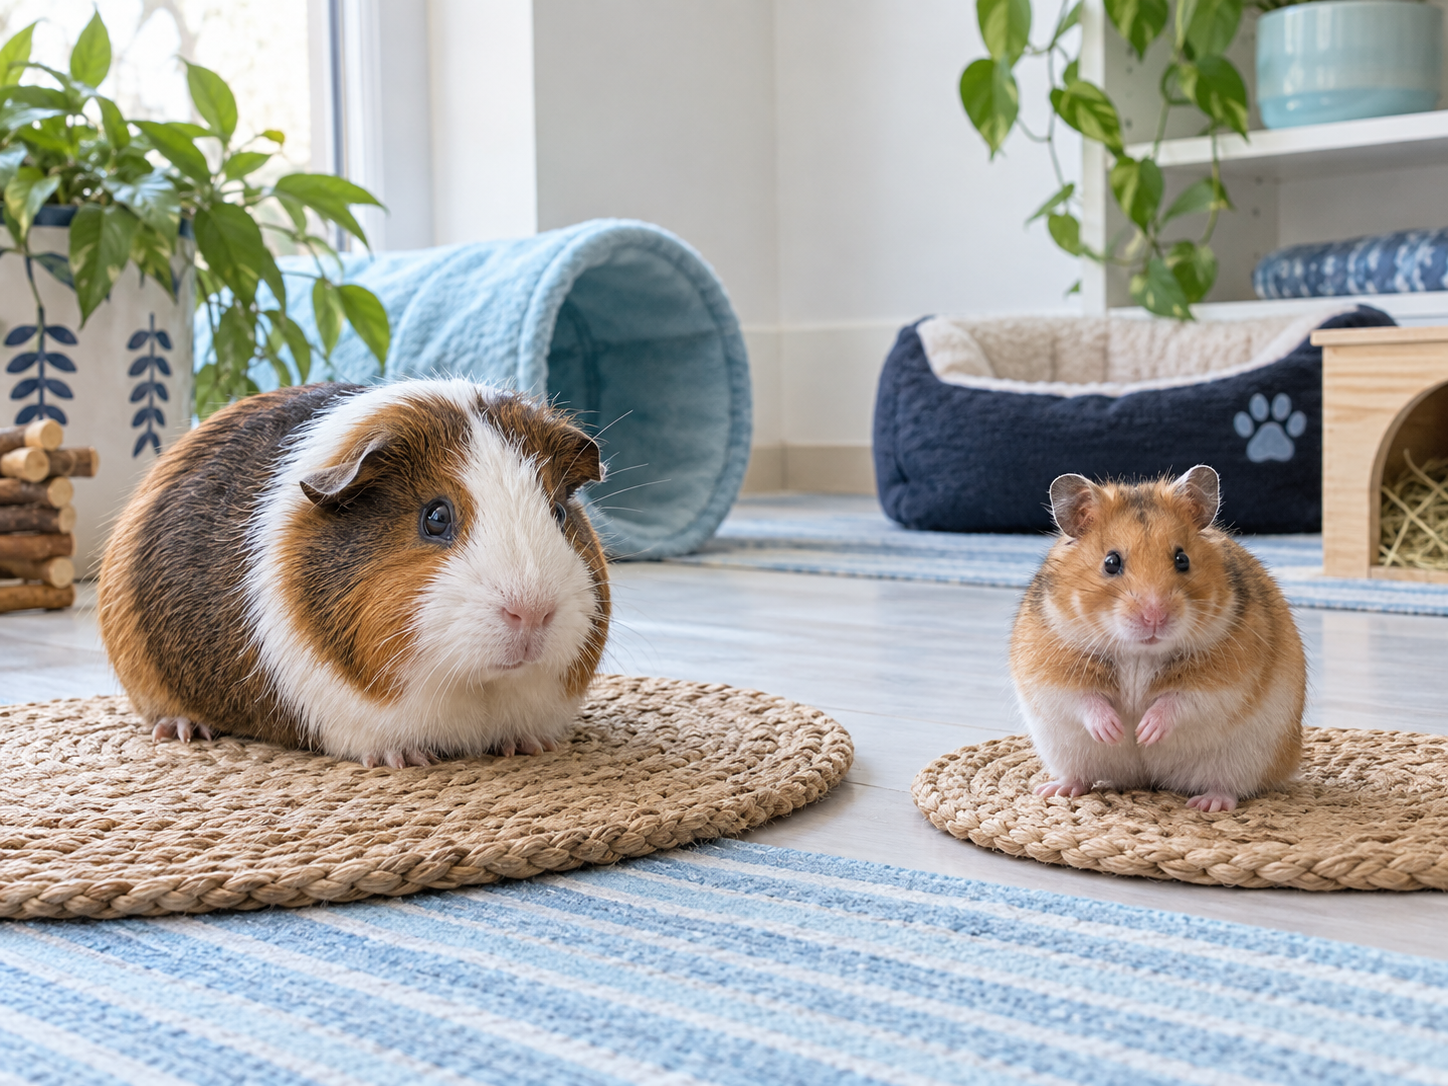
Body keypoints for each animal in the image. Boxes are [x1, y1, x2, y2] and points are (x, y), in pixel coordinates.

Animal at [98, 378, 611, 768]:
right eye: (436, 517)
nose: (532, 612)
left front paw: (530, 746)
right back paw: (185, 730)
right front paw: (407, 760)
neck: (479, 687)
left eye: (558, 513)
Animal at [1009, 465, 1304, 812]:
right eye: (1111, 562)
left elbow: (1178, 701)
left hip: (1247, 757)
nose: (1155, 617)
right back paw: (1055, 790)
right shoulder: (1050, 671)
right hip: (1063, 751)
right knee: (1080, 775)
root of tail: (1149, 780)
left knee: (1229, 787)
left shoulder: (1223, 681)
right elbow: (1085, 700)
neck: (1140, 653)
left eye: (1182, 559)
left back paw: (1209, 803)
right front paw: (1116, 732)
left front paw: (1144, 733)